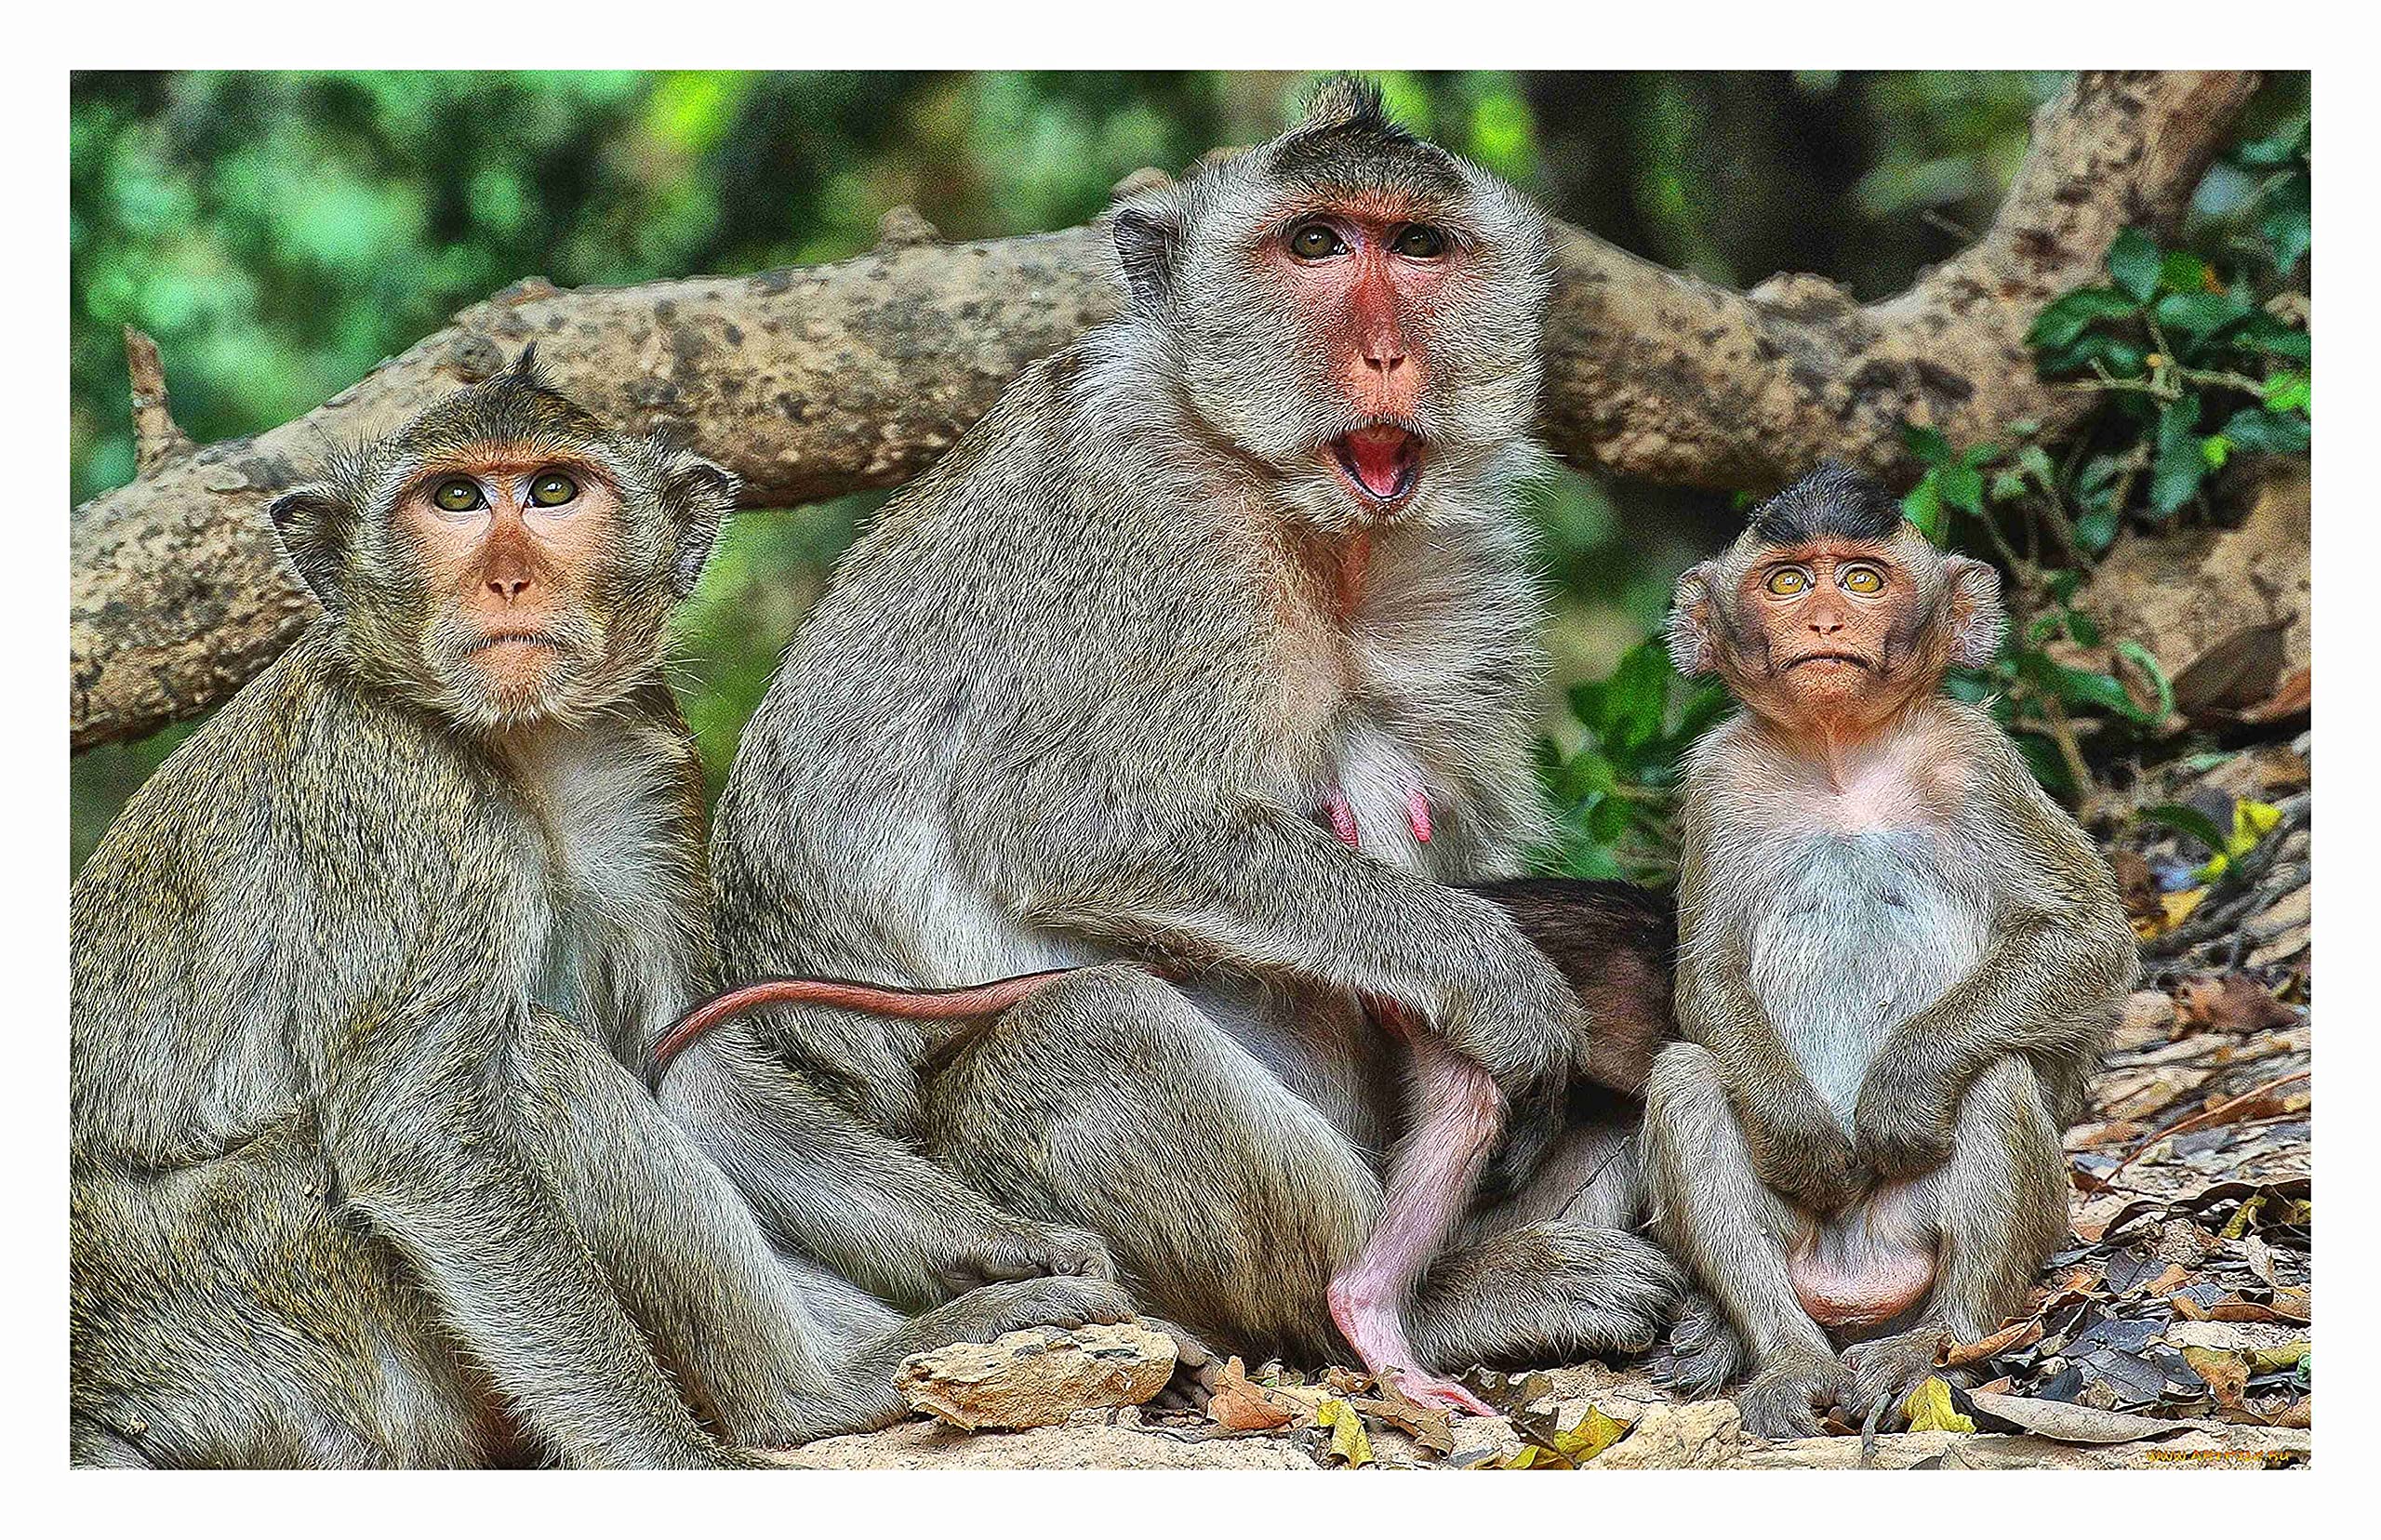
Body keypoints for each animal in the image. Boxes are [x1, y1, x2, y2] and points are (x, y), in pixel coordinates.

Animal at [69, 351, 1140, 1468]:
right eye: (455, 499)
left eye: (551, 491)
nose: (507, 578)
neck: (519, 742)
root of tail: (111, 1404)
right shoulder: (399, 792)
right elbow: (423, 1140)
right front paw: (677, 1461)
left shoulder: (645, 758)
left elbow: (692, 1065)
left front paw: (1010, 1241)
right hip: (263, 1312)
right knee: (540, 1066)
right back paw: (802, 1401)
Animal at [678, 79, 1682, 1415]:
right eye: (1314, 243)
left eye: (1418, 245)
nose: (1387, 355)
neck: (1304, 519)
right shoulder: (1150, 538)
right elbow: (1069, 822)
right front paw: (1497, 978)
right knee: (1092, 1033)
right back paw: (1419, 1306)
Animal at [1636, 462, 2136, 1438]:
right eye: (1789, 581)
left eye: (1863, 579)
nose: (1827, 621)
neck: (1844, 762)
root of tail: (1857, 1281)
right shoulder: (1719, 782)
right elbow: (1709, 973)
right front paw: (1801, 1135)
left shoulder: (1978, 761)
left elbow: (2088, 937)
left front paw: (1903, 1087)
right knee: (1687, 1078)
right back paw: (1783, 1357)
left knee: (1996, 1077)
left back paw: (1932, 1343)